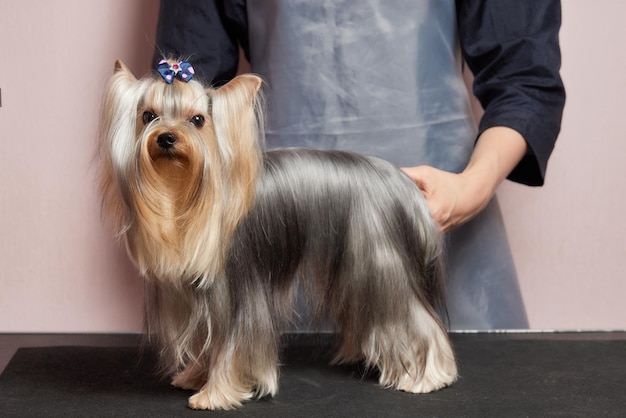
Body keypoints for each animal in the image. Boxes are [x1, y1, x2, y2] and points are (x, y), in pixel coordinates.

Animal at [98, 59, 458, 412]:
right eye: (148, 116)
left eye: (198, 120)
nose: (166, 138)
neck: (182, 191)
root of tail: (403, 183)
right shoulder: (202, 296)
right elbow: (209, 341)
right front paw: (196, 377)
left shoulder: (238, 295)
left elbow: (231, 346)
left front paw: (215, 395)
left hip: (380, 262)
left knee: (416, 319)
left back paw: (428, 377)